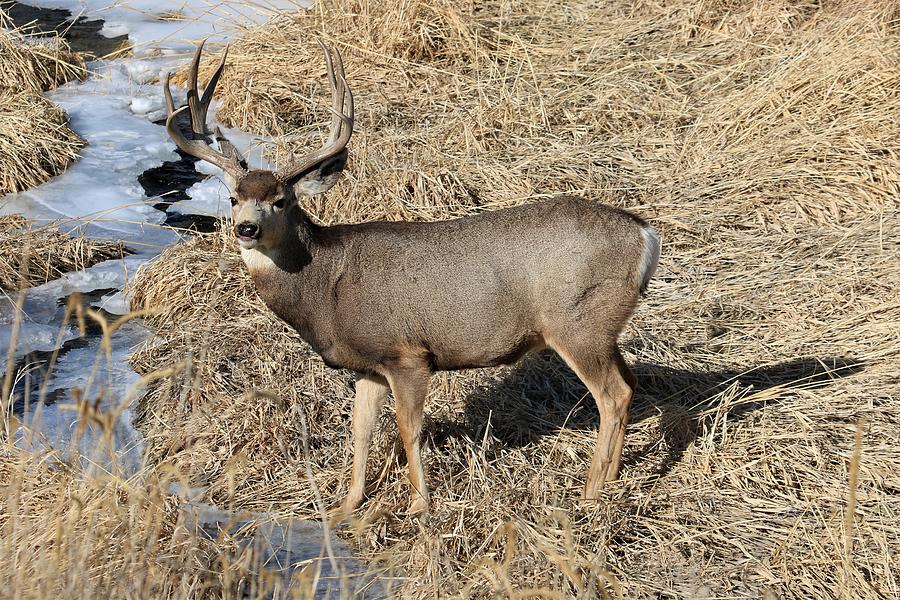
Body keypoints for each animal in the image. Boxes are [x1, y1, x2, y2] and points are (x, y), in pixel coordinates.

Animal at [163, 41, 660, 516]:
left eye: (281, 200)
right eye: (232, 198)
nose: (246, 229)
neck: (325, 287)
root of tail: (644, 235)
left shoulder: (407, 354)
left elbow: (408, 427)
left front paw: (419, 504)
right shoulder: (368, 364)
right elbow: (361, 429)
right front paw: (347, 507)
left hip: (577, 321)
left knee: (613, 395)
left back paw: (590, 493)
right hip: (602, 327)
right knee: (631, 384)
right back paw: (611, 479)